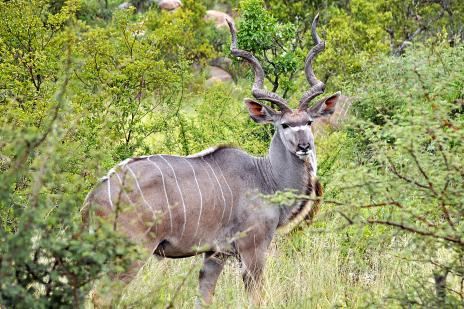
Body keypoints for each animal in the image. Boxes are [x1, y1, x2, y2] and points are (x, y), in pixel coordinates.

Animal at [81, 13, 338, 304]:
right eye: (284, 124)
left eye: (309, 122)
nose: (304, 146)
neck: (265, 177)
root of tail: (94, 197)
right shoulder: (252, 248)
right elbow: (255, 298)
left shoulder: (216, 253)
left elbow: (204, 296)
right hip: (132, 252)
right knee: (101, 297)